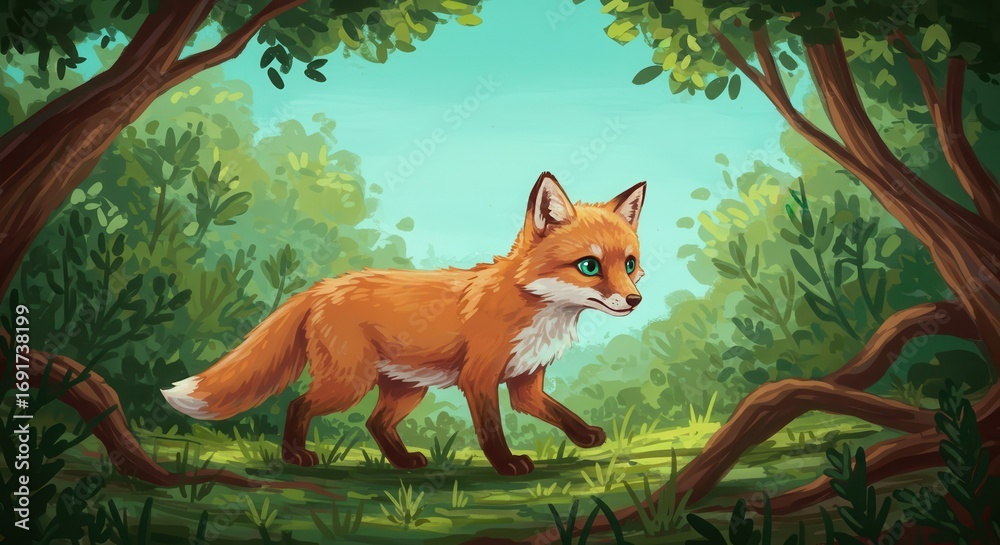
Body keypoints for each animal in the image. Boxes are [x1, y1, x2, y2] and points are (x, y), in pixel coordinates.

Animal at [161, 172, 646, 476]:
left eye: (629, 264)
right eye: (589, 266)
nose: (635, 300)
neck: (538, 307)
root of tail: (321, 287)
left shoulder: (526, 381)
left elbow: (558, 412)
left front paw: (585, 436)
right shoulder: (479, 378)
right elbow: (491, 430)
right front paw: (507, 465)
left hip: (406, 388)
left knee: (375, 424)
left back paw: (403, 462)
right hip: (350, 382)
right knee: (297, 405)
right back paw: (296, 456)